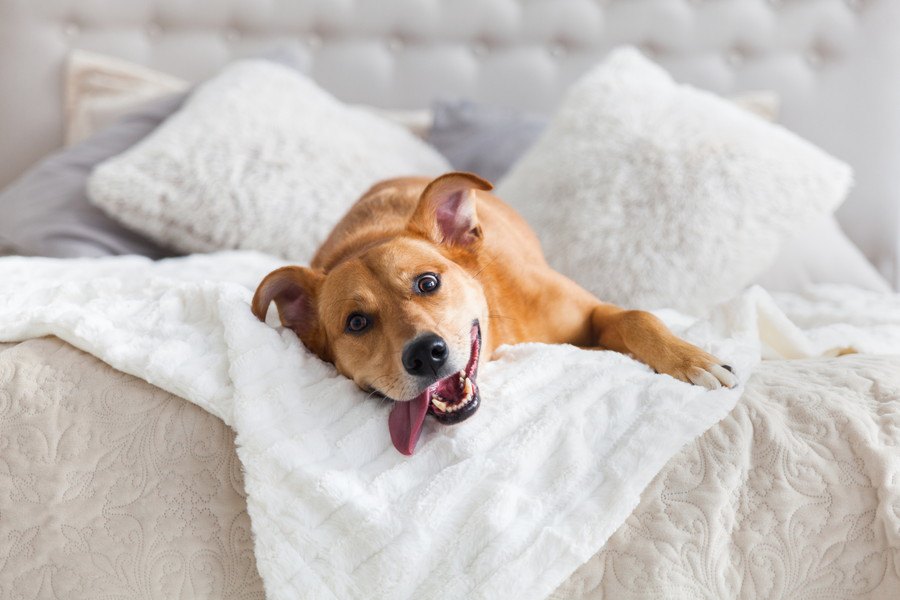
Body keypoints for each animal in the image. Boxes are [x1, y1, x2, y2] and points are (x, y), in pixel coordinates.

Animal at [250, 173, 736, 454]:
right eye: (356, 323)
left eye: (428, 283)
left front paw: (692, 360)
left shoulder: (594, 312)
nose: (424, 354)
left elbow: (637, 316)